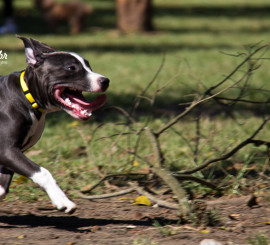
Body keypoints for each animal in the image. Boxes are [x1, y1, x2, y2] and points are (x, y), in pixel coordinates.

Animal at [0, 35, 109, 213]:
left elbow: (2, 189)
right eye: (71, 68)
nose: (105, 81)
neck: (26, 95)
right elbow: (43, 173)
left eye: (89, 66)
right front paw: (63, 201)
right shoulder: (6, 150)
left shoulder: (10, 154)